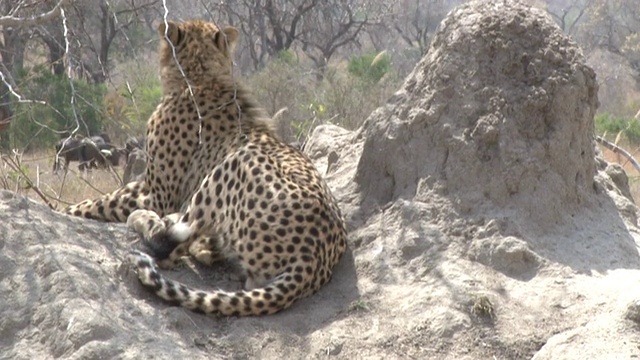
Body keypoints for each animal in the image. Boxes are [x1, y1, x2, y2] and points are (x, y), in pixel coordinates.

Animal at [62, 19, 348, 316]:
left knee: (170, 246)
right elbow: (111, 195)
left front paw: (68, 210)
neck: (200, 76)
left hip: (233, 162)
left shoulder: (158, 196)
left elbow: (99, 204)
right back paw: (205, 245)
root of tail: (312, 260)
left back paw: (148, 221)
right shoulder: (148, 185)